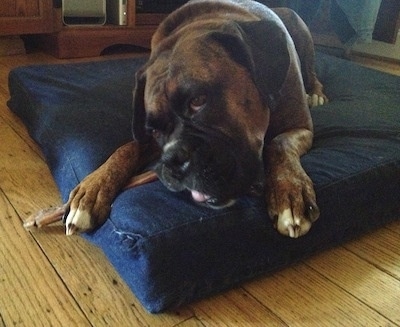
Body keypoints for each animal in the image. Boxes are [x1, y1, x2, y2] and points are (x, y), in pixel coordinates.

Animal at [25, 0, 326, 237]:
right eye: (154, 129)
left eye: (198, 100)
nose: (172, 159)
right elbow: (126, 148)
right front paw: (91, 190)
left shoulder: (300, 127)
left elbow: (278, 145)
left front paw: (290, 194)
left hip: (303, 32)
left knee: (312, 71)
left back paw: (316, 93)